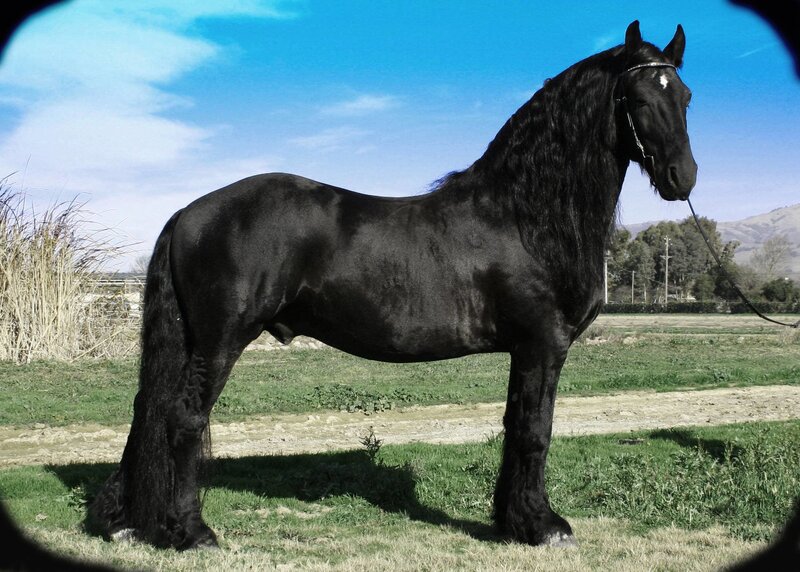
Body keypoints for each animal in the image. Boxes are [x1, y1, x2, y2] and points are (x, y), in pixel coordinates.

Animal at [88, 20, 696, 550]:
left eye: (686, 96)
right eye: (638, 98)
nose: (682, 178)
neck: (524, 216)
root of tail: (188, 213)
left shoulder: (527, 350)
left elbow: (515, 425)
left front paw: (512, 521)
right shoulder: (543, 345)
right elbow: (534, 431)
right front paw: (542, 527)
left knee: (148, 412)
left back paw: (124, 522)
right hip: (219, 340)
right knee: (182, 420)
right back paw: (193, 533)